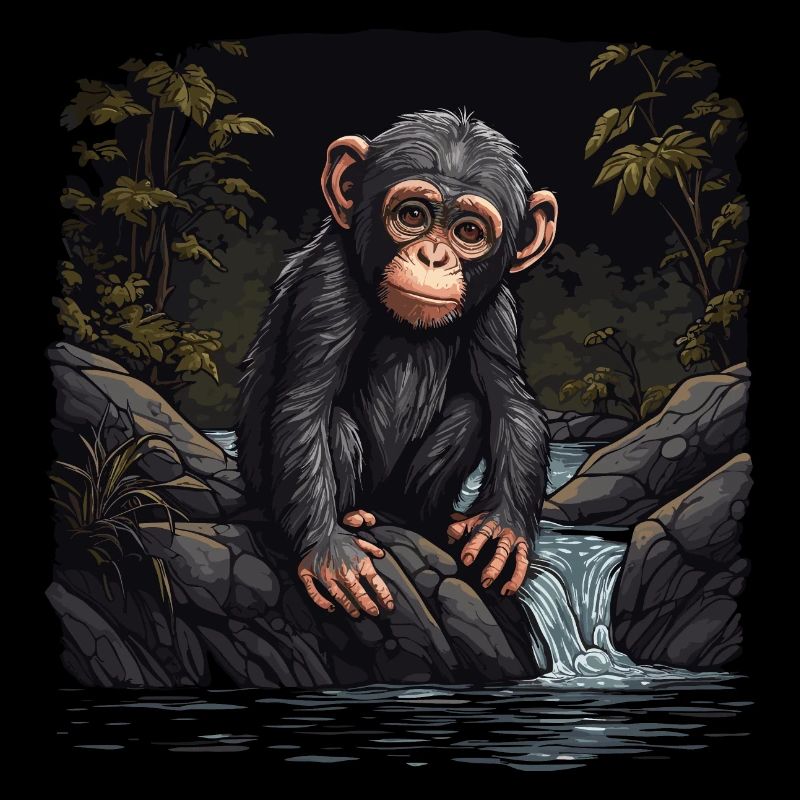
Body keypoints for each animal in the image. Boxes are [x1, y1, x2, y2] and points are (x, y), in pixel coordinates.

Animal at [237, 110, 557, 620]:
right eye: (412, 215)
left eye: (469, 232)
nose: (433, 256)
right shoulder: (328, 284)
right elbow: (302, 406)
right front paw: (329, 553)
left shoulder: (496, 306)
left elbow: (513, 404)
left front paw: (502, 531)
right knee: (335, 423)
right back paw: (350, 516)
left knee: (471, 411)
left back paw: (431, 520)